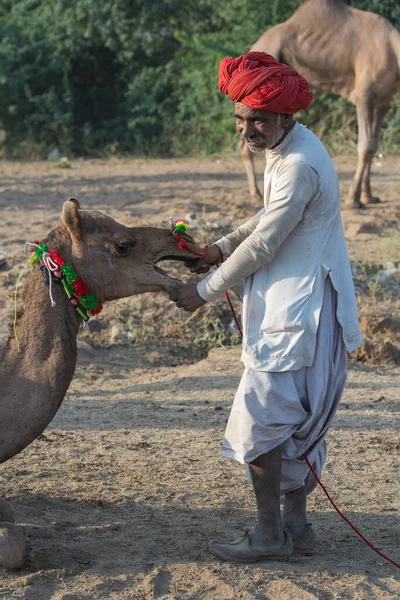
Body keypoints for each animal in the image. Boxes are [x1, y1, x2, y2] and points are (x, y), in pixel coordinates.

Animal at [241, 0, 400, 209]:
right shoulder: (364, 95)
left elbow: (373, 146)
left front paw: (368, 196)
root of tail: (255, 45)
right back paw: (256, 196)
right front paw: (353, 200)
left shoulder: (383, 100)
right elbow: (365, 146)